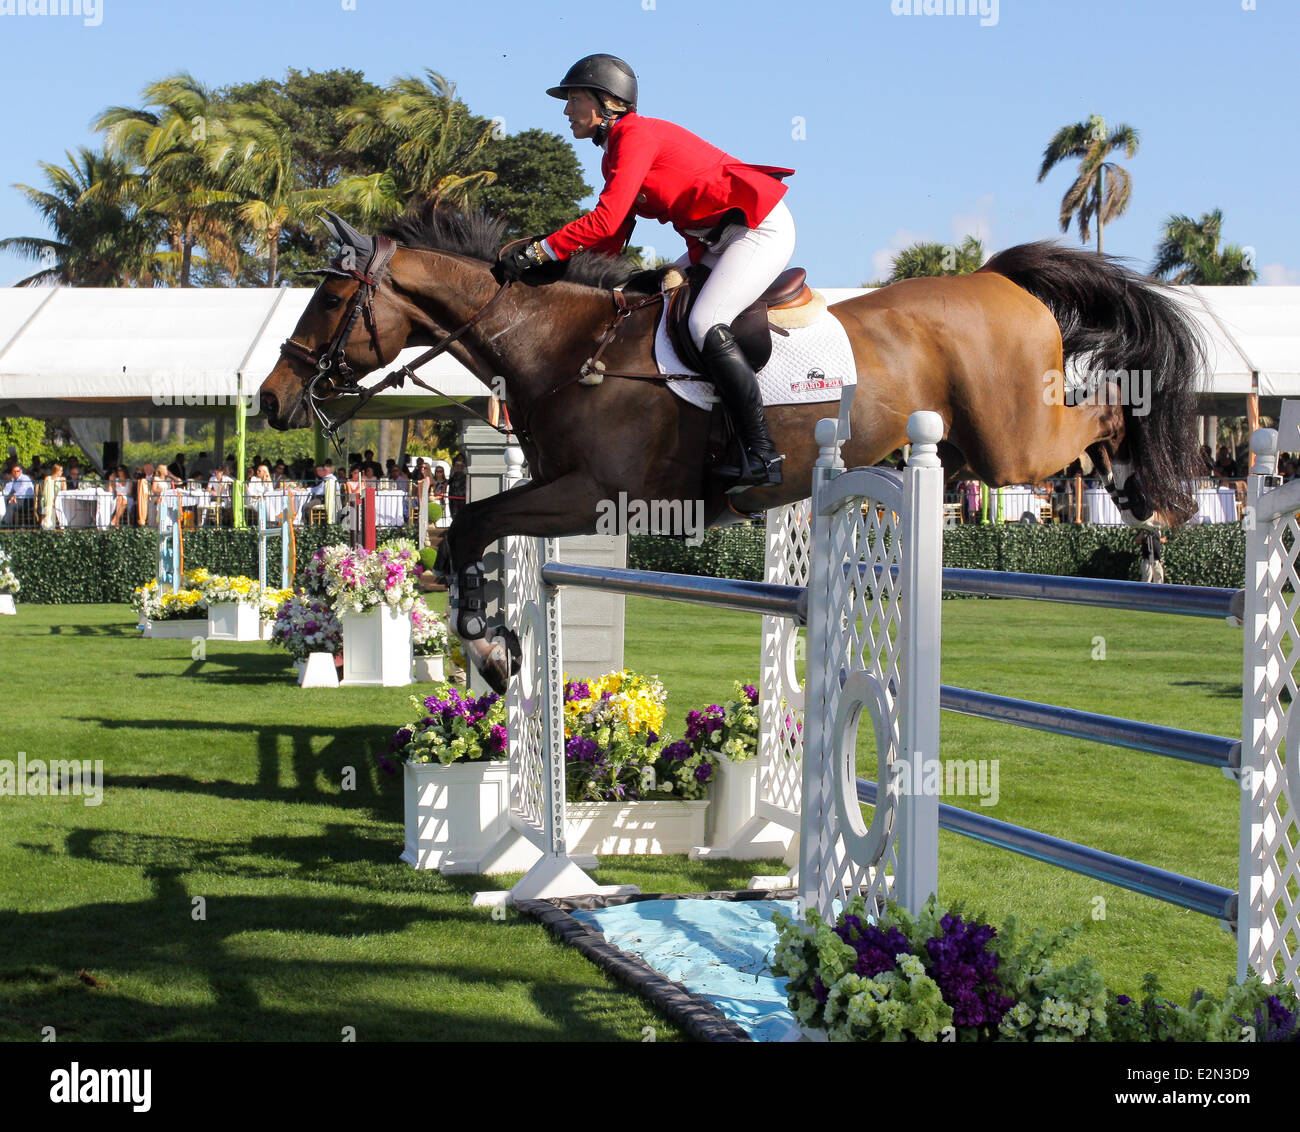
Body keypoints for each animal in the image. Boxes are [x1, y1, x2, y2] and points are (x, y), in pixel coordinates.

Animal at [258, 207, 1201, 696]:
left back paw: (1145, 487)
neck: (558, 345)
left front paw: (487, 647)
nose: (271, 398)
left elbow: (469, 525)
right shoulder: (563, 489)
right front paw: (493, 644)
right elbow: (468, 525)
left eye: (329, 299)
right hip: (981, 444)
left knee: (1104, 412)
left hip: (1013, 446)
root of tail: (998, 277)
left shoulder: (596, 495)